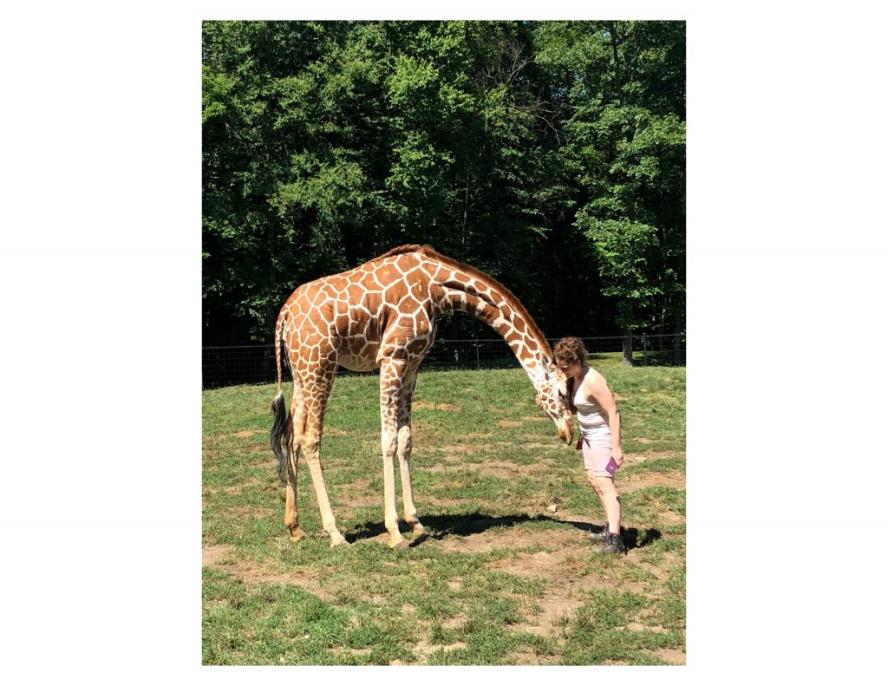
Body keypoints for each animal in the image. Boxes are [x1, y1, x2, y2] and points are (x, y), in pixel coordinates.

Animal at [270, 245, 572, 552]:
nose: (569, 433)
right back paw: (335, 533)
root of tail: (284, 315)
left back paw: (294, 527)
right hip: (320, 365)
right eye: (561, 392)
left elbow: (406, 440)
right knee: (310, 438)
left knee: (292, 437)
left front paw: (415, 523)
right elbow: (388, 440)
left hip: (302, 372)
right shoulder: (392, 357)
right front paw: (394, 532)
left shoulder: (413, 363)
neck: (438, 289)